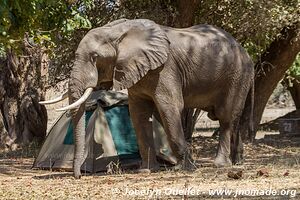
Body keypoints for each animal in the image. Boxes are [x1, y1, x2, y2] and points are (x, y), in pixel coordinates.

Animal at [41, 18, 254, 178]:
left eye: (95, 57)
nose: (77, 175)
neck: (118, 32)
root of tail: (247, 54)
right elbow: (138, 114)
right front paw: (147, 170)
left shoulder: (165, 69)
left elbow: (169, 107)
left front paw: (185, 169)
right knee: (233, 119)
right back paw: (238, 161)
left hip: (236, 76)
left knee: (226, 118)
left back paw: (221, 164)